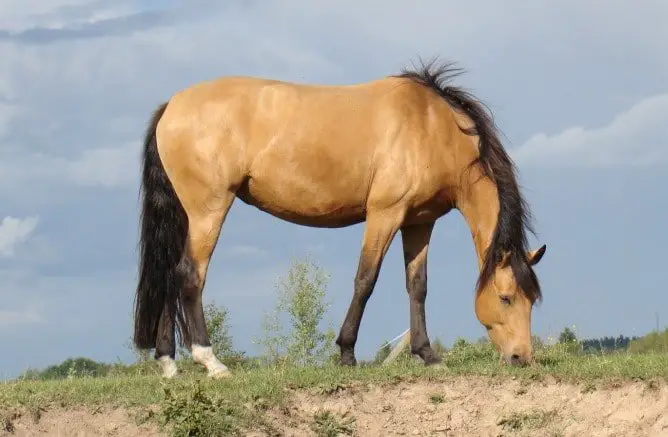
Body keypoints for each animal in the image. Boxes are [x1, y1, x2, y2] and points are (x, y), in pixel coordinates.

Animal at [133, 58, 544, 378]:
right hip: (209, 211)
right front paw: (346, 353)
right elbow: (365, 280)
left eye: (532, 299)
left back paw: (168, 363)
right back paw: (211, 361)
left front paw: (427, 355)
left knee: (169, 273)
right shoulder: (385, 214)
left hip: (186, 216)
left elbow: (418, 286)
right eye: (506, 297)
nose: (521, 357)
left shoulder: (418, 222)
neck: (432, 127)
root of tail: (172, 106)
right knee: (190, 274)